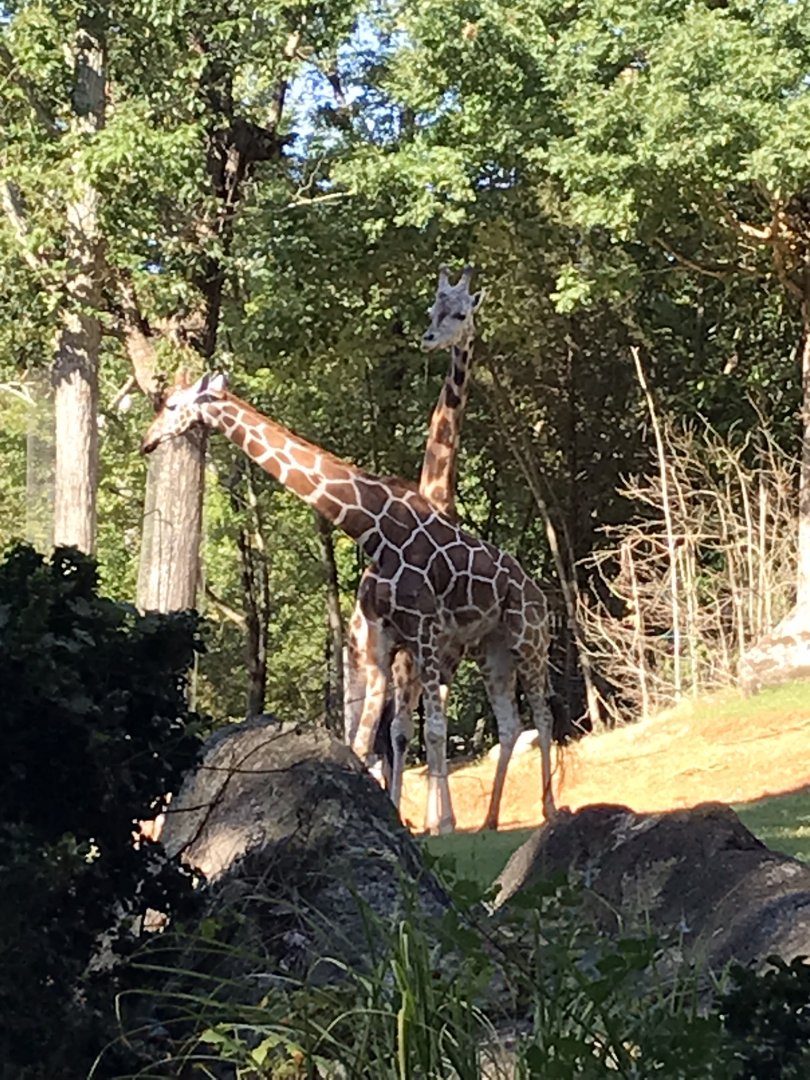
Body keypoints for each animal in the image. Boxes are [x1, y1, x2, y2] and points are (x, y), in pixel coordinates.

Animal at [140, 373, 554, 835]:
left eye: (172, 405)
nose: (147, 442)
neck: (375, 528)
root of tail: (539, 593)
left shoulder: (425, 631)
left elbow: (431, 730)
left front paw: (443, 825)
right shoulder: (384, 639)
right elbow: (366, 739)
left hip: (528, 639)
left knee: (543, 715)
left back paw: (549, 810)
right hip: (491, 649)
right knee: (510, 724)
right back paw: (489, 822)